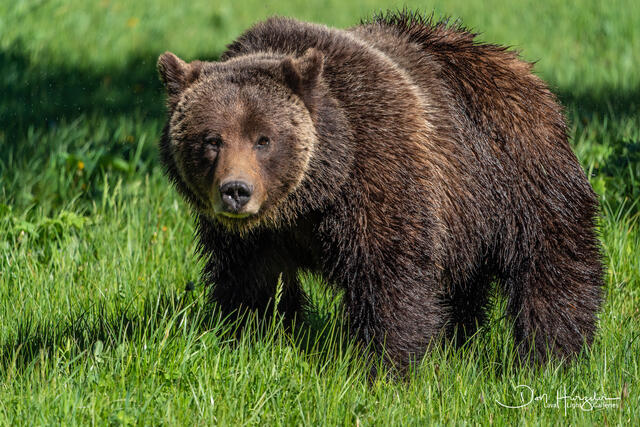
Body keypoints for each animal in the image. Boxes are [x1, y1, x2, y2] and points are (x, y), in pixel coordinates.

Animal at [156, 11, 604, 370]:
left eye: (263, 139)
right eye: (211, 139)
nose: (236, 191)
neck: (313, 193)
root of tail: (520, 66)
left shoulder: (378, 169)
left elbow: (388, 276)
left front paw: (384, 366)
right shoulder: (253, 236)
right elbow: (251, 283)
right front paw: (250, 337)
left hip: (518, 174)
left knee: (552, 265)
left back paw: (551, 357)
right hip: (464, 217)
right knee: (462, 286)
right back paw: (458, 341)